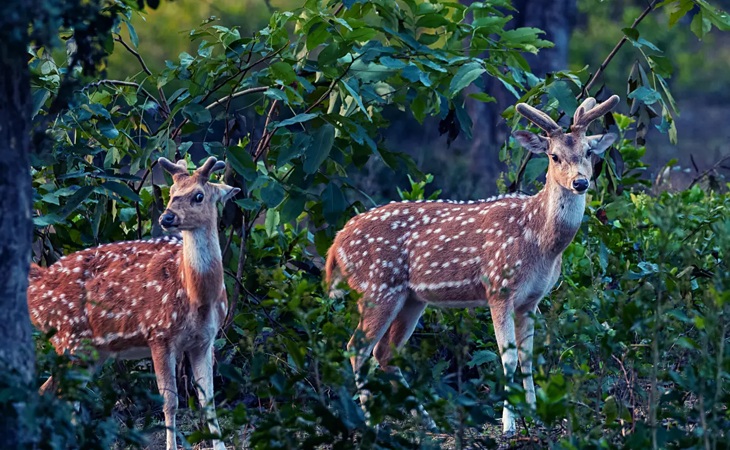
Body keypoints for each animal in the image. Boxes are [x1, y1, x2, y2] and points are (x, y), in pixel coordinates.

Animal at [27, 156, 239, 450]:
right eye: (171, 193)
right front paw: (170, 446)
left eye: (198, 195)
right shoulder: (158, 333)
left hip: (93, 350)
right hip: (68, 338)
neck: (196, 296)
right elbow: (170, 402)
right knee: (54, 393)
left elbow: (208, 401)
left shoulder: (205, 341)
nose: (166, 217)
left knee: (57, 394)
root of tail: (36, 283)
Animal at [328, 96, 616, 436]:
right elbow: (508, 359)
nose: (580, 182)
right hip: (376, 287)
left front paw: (535, 414)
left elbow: (529, 358)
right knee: (356, 348)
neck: (539, 241)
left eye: (588, 151)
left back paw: (428, 420)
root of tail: (336, 243)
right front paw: (508, 424)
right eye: (553, 155)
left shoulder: (531, 300)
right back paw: (371, 423)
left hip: (411, 299)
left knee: (383, 352)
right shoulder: (498, 288)